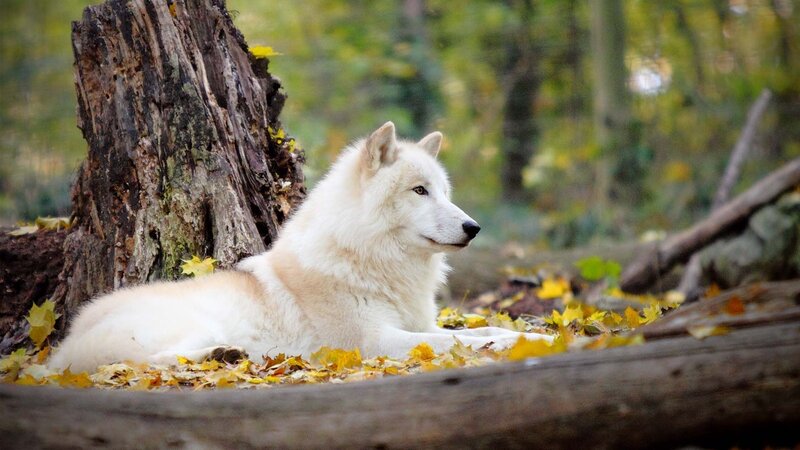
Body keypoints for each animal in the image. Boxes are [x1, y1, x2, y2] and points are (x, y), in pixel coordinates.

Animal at [49, 122, 552, 372]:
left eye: (444, 192)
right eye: (419, 191)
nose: (474, 227)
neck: (370, 260)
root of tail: (63, 343)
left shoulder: (420, 324)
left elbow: (478, 330)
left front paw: (538, 337)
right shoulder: (373, 340)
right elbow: (459, 341)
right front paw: (521, 341)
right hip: (191, 327)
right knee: (149, 363)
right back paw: (224, 356)